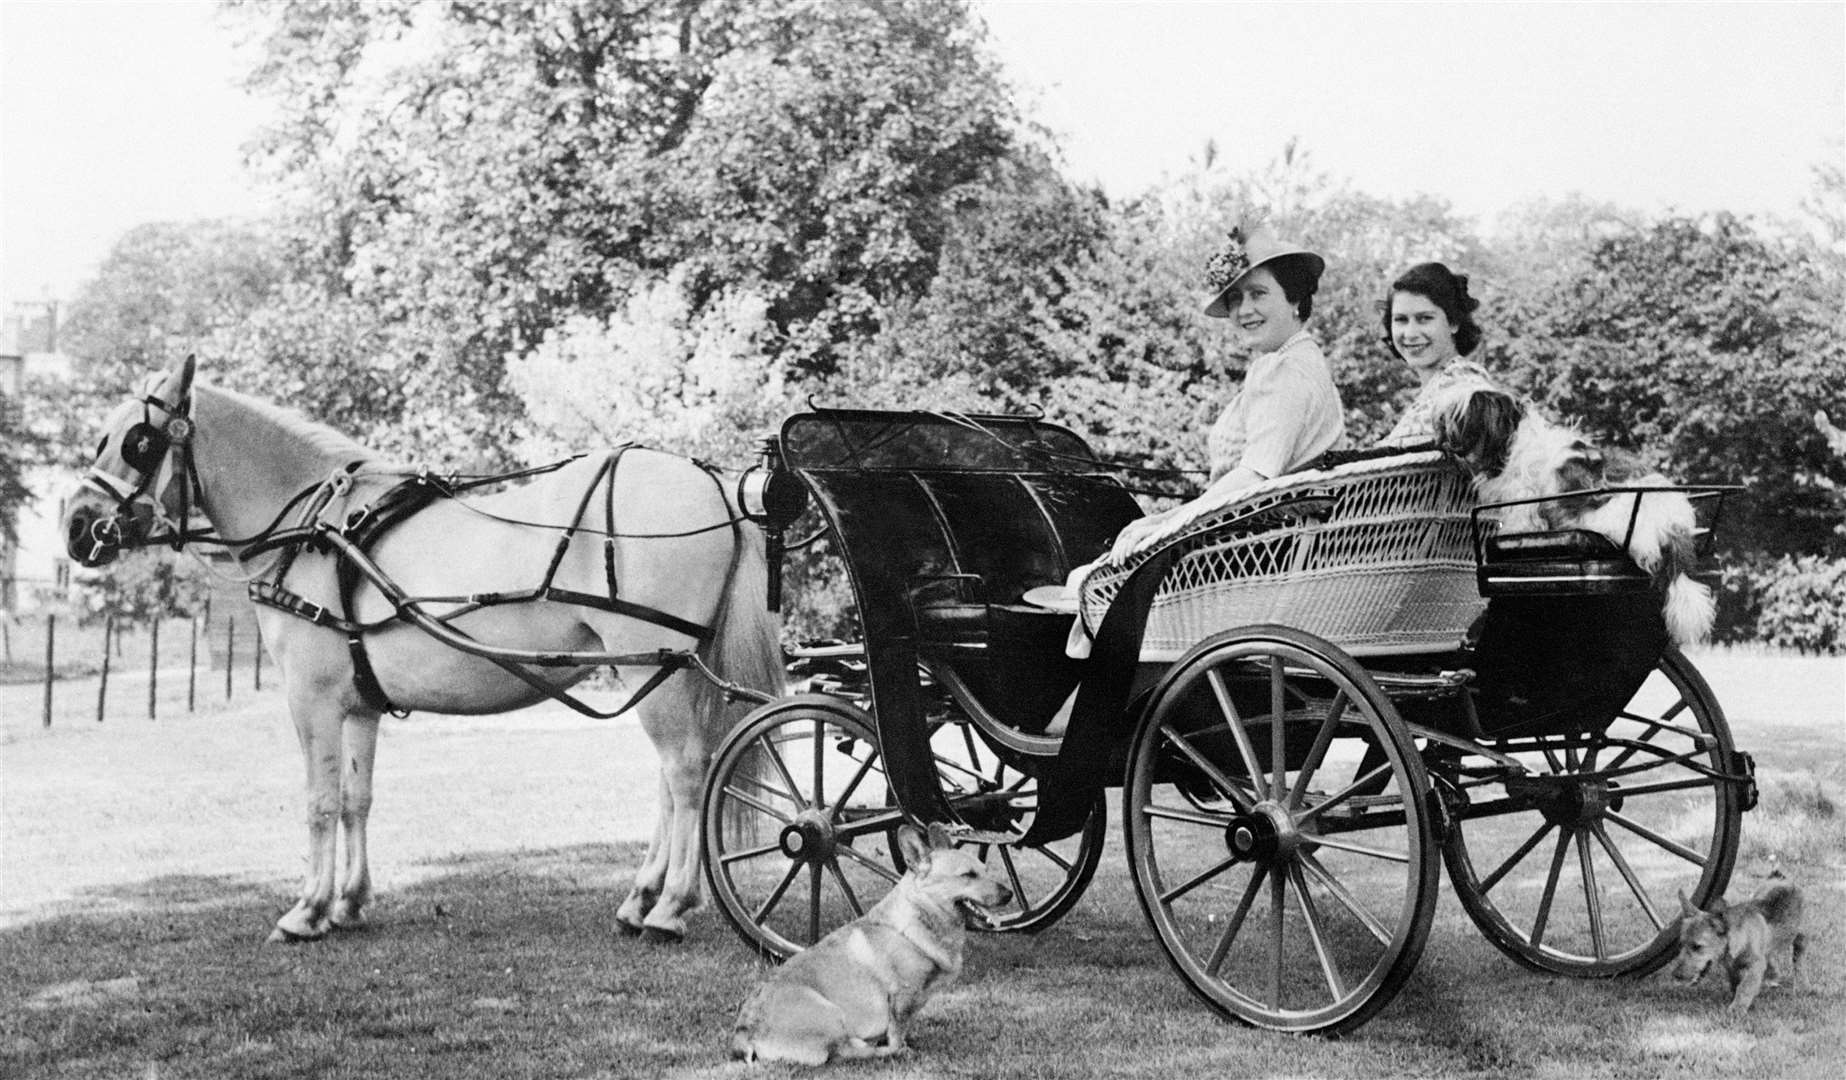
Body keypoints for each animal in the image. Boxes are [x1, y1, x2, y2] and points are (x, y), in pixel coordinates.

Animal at [65, 356, 782, 945]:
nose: (76, 527)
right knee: (670, 779)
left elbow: (319, 802)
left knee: (687, 775)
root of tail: (714, 486)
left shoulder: (311, 701)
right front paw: (349, 903)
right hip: (656, 670)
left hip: (658, 666)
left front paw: (306, 910)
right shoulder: (358, 706)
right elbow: (356, 799)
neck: (316, 530)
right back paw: (641, 899)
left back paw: (671, 908)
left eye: (137, 442)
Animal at [734, 827, 1018, 1063]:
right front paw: (903, 1048)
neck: (920, 916)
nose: (1009, 894)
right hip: (831, 1014)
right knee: (843, 1052)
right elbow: (898, 1031)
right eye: (968, 875)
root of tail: (745, 1034)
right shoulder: (901, 998)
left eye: (984, 869)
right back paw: (884, 1051)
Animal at [1676, 878, 1801, 1011]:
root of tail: (1784, 881)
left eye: (1697, 946)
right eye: (1681, 944)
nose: (1676, 975)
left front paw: (1738, 1007)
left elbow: (1745, 986)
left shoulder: (1755, 964)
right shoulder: (1731, 967)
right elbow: (1736, 982)